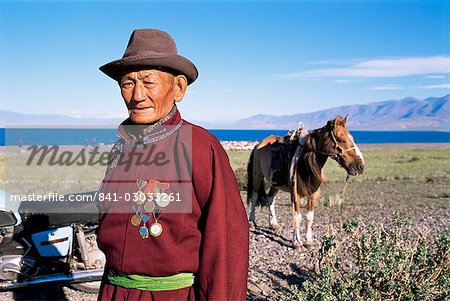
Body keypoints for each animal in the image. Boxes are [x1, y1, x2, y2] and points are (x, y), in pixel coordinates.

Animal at [246, 115, 366, 248]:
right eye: (341, 139)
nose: (360, 166)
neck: (305, 162)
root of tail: (258, 144)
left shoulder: (314, 194)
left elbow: (309, 217)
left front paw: (308, 241)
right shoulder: (295, 194)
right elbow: (297, 216)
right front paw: (296, 242)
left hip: (276, 183)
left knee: (270, 197)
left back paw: (274, 224)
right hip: (257, 176)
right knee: (254, 196)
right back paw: (251, 222)